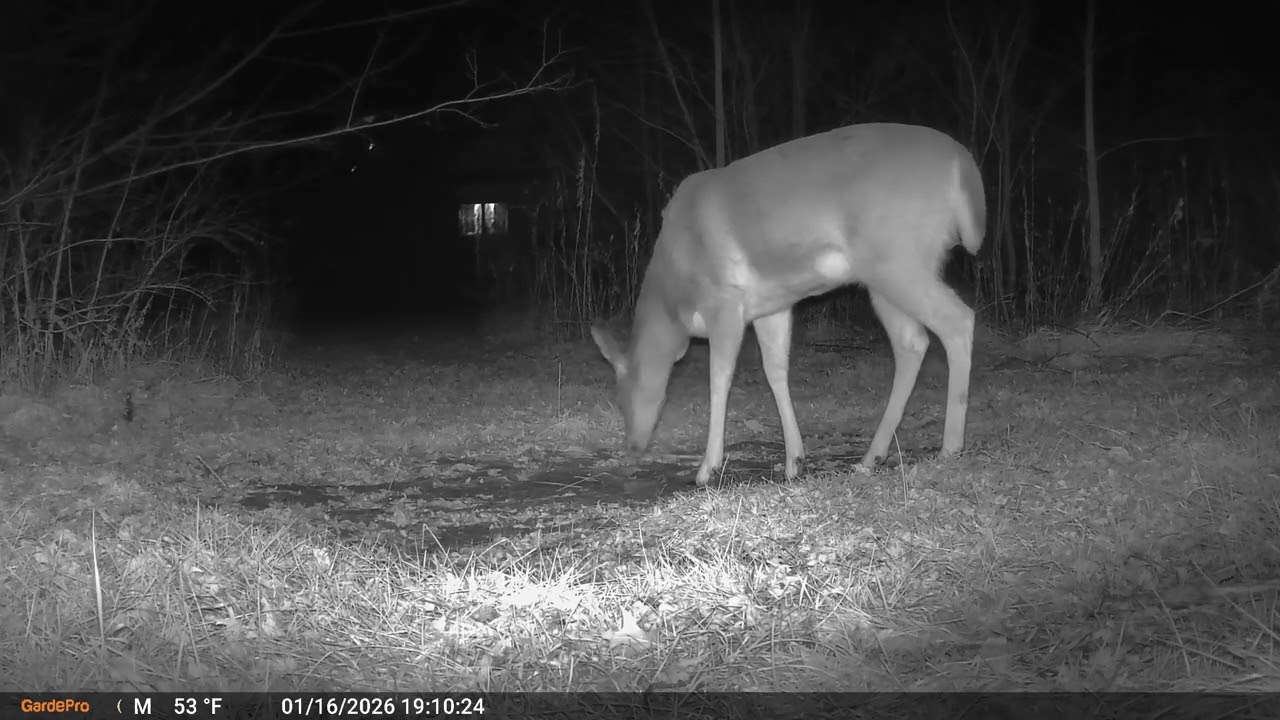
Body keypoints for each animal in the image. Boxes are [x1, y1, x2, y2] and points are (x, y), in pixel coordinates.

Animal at [591, 123, 986, 487]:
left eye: (623, 391)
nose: (632, 446)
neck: (674, 300)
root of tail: (963, 164)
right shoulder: (771, 306)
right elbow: (776, 371)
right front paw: (795, 460)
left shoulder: (724, 300)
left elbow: (719, 379)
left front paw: (707, 468)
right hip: (885, 275)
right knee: (912, 342)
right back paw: (871, 457)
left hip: (897, 258)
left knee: (958, 320)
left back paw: (950, 446)